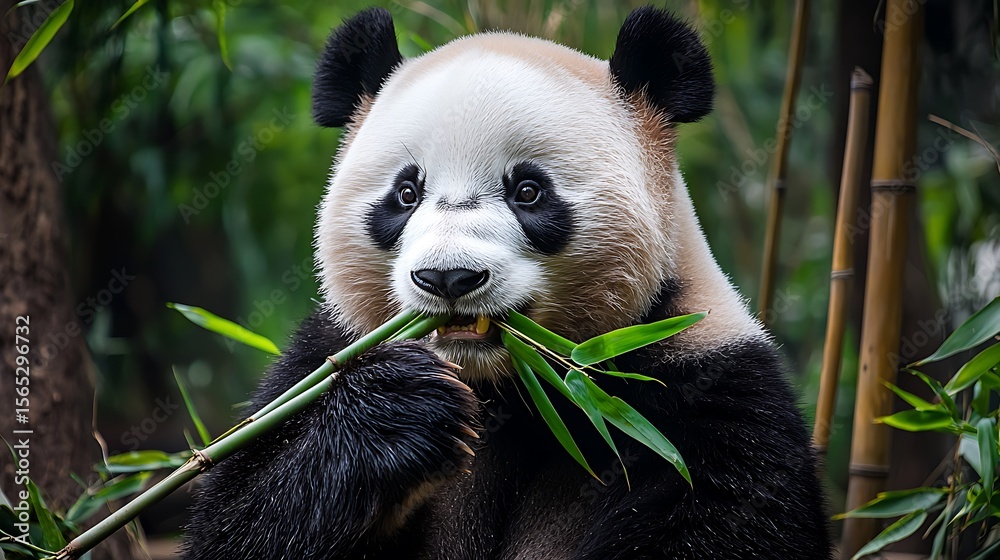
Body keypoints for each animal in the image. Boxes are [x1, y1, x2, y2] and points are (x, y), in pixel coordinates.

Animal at [183, 6, 832, 559]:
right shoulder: (320, 361)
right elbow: (243, 515)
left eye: (528, 191)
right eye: (406, 193)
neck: (506, 386)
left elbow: (724, 518)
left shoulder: (708, 394)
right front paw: (396, 410)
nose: (448, 277)